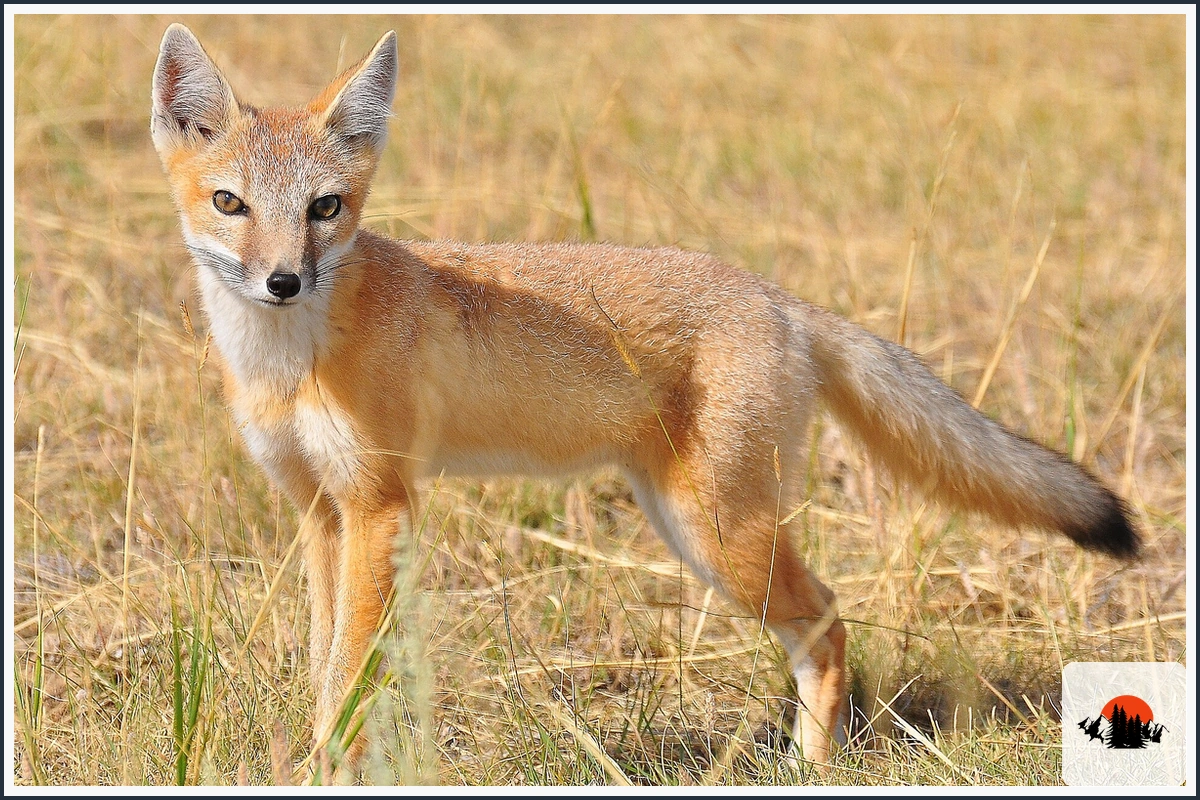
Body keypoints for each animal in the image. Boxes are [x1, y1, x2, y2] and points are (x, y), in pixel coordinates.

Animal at [151, 24, 1139, 775]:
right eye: (231, 203)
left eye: (325, 209)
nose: (283, 281)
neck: (289, 360)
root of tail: (779, 298)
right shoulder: (322, 511)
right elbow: (325, 670)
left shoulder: (381, 506)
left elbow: (352, 676)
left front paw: (338, 768)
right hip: (690, 526)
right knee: (816, 628)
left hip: (720, 535)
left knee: (828, 623)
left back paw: (813, 768)